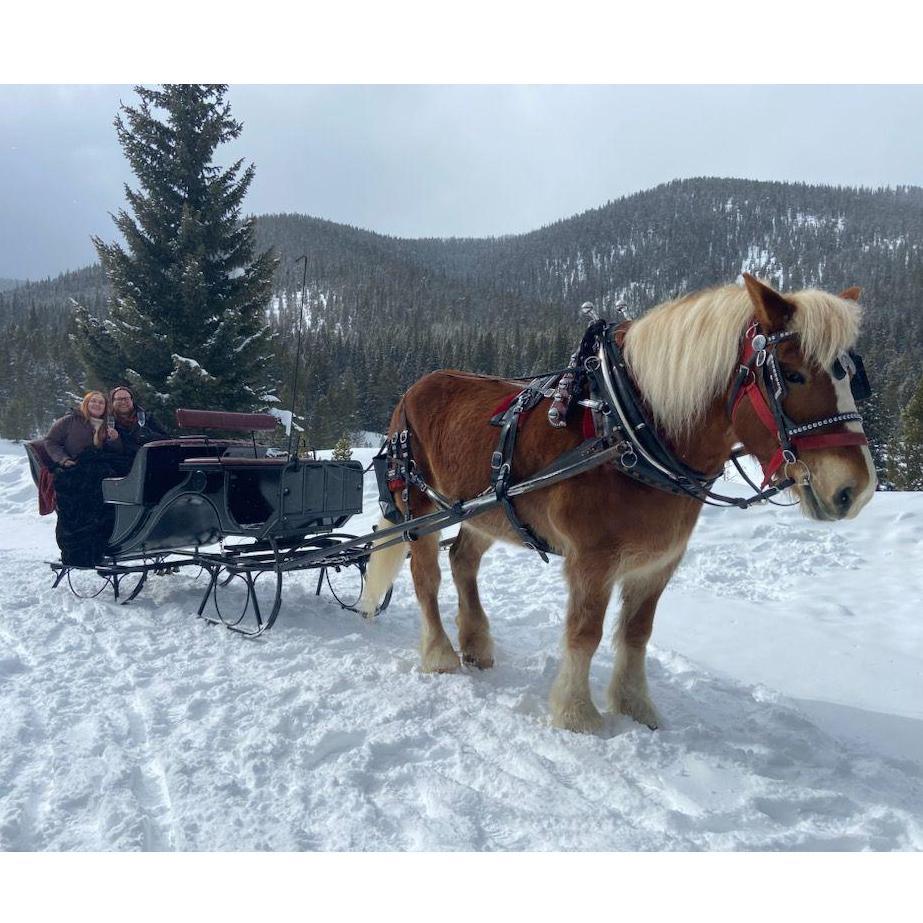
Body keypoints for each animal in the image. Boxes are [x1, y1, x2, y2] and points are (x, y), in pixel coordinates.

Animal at [358, 274, 877, 733]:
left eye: (853, 377)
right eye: (791, 374)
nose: (854, 489)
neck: (631, 430)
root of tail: (413, 389)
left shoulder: (659, 563)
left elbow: (636, 633)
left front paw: (634, 707)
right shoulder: (592, 561)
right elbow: (584, 634)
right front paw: (577, 715)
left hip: (483, 510)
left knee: (464, 560)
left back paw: (477, 646)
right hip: (419, 507)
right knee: (426, 575)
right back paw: (441, 654)